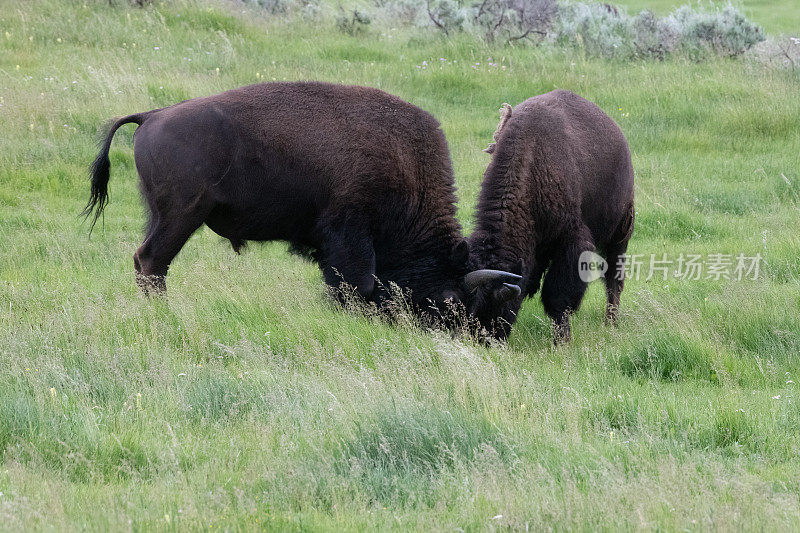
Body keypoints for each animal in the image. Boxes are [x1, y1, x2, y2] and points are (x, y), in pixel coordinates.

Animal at [83, 81, 520, 318]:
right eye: (451, 301)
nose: (451, 332)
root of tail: (152, 115)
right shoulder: (349, 233)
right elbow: (357, 282)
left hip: (160, 214)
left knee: (145, 259)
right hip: (181, 215)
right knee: (153, 261)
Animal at [466, 89, 636, 342]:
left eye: (497, 301)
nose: (482, 340)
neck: (531, 160)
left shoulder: (572, 242)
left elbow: (558, 297)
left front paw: (562, 340)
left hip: (620, 234)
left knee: (613, 279)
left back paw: (611, 323)